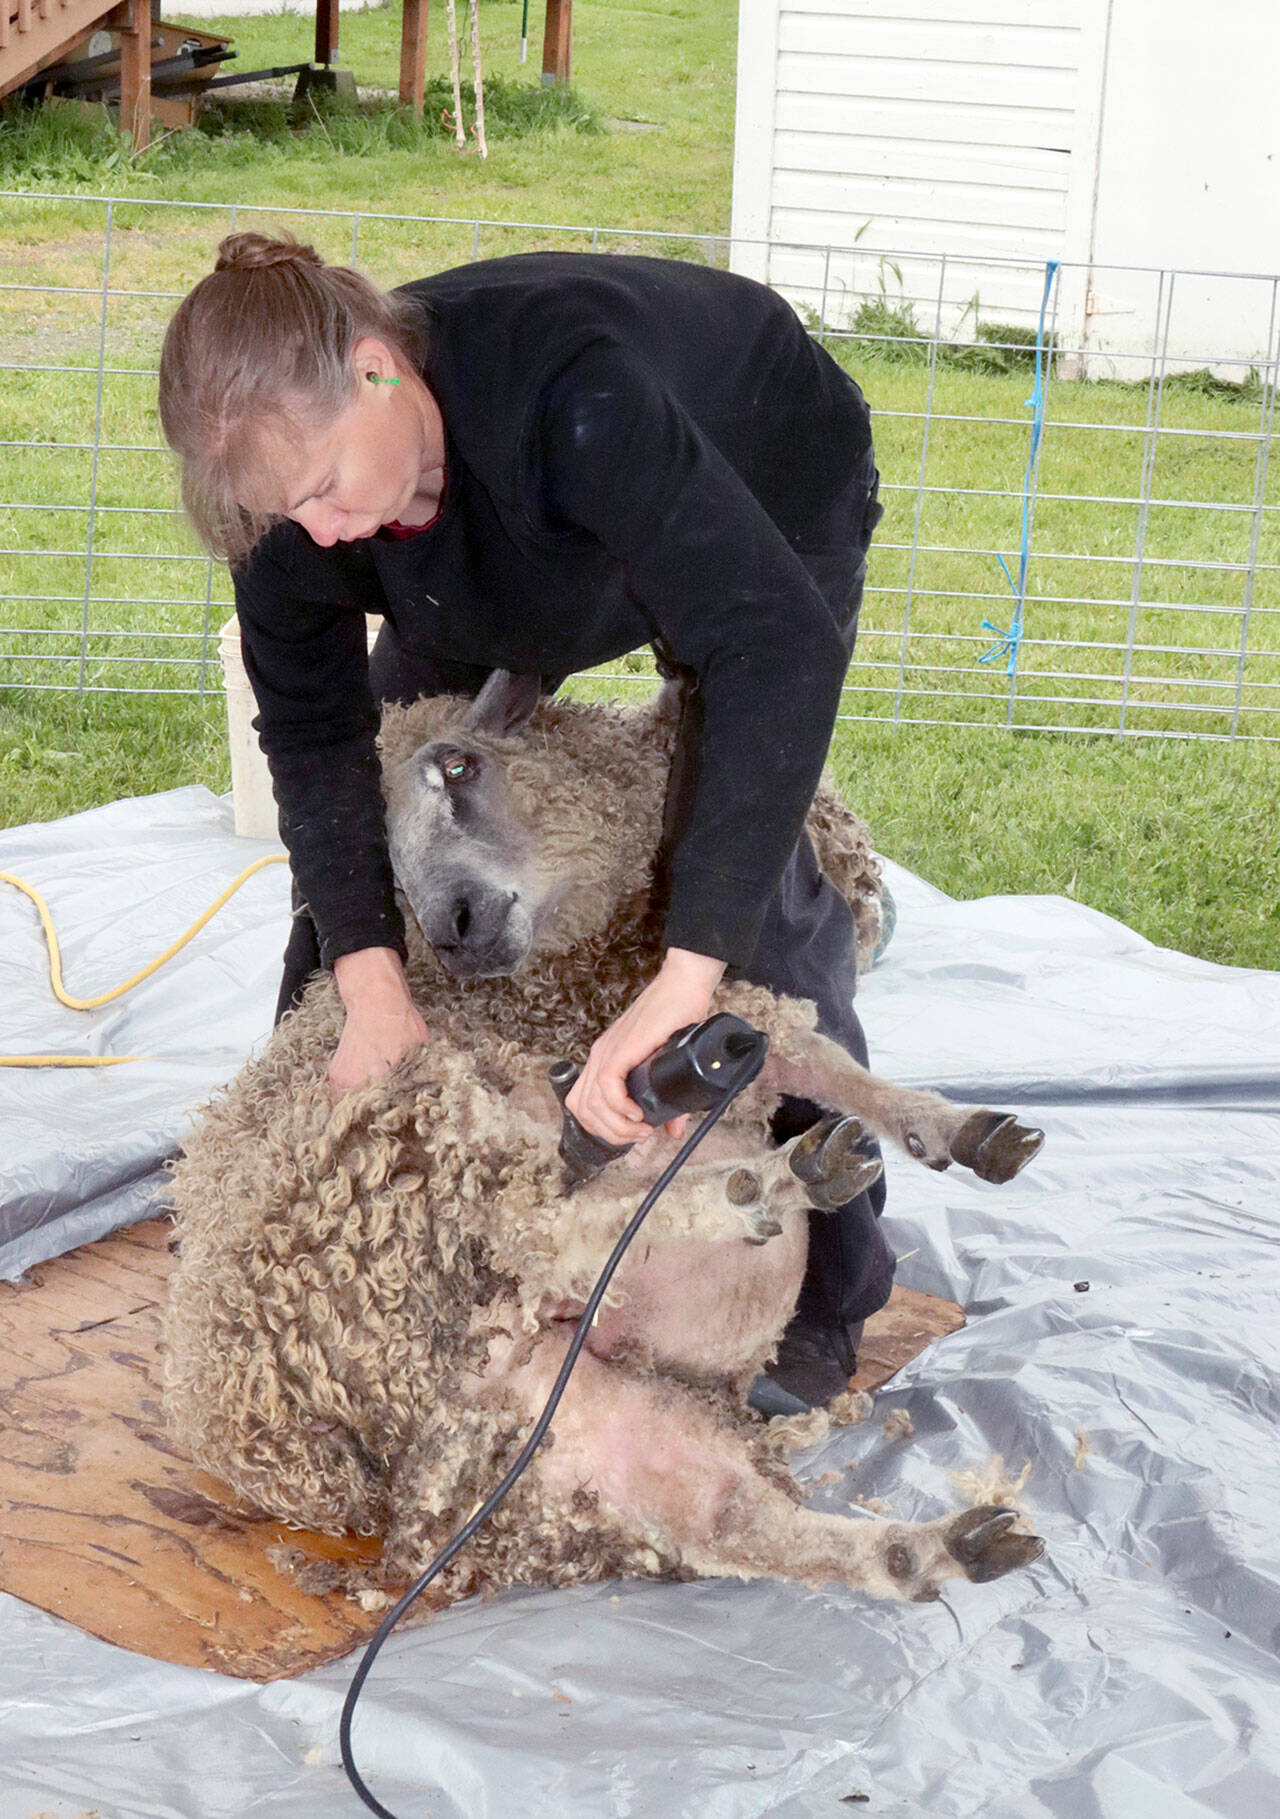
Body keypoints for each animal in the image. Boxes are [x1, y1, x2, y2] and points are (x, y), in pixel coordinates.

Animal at [163, 672, 1045, 1613]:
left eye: (458, 765)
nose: (453, 924)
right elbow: (811, 1059)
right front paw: (913, 1137)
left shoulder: (705, 1031)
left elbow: (825, 1063)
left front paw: (959, 1129)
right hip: (402, 1161)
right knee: (545, 1226)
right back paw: (768, 1184)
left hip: (570, 1417)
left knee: (730, 1515)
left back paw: (945, 1547)